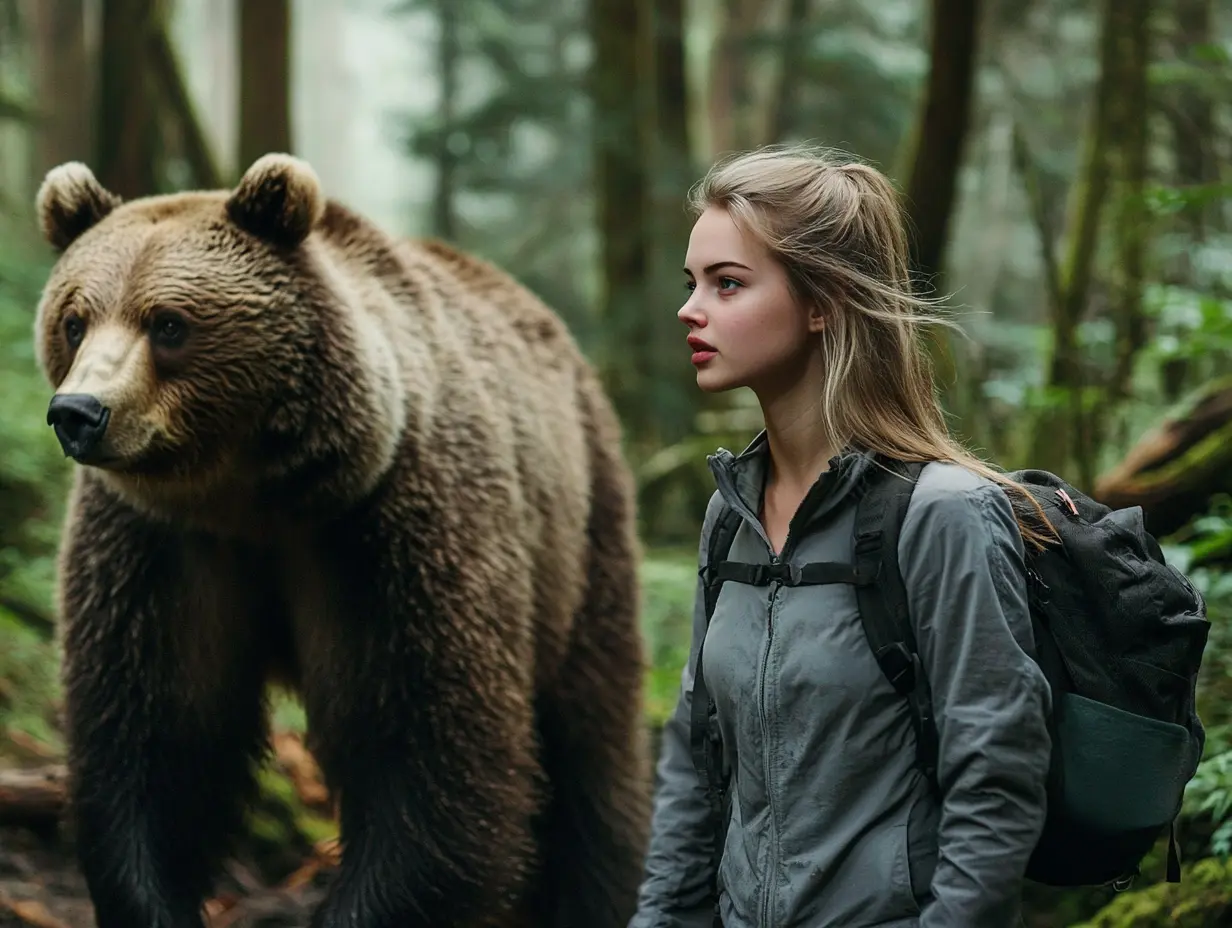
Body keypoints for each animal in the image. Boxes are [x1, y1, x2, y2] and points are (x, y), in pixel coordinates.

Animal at [31, 153, 652, 928]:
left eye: (169, 322)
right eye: (75, 320)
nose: (79, 412)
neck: (252, 499)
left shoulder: (389, 531)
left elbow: (426, 751)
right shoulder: (161, 547)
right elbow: (153, 733)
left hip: (582, 529)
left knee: (591, 743)